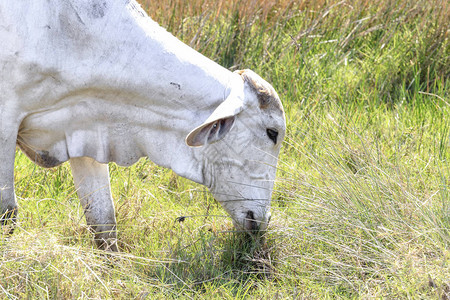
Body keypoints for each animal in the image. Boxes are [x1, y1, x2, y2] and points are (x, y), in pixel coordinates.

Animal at [0, 0, 284, 251]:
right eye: (272, 133)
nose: (265, 220)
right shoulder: (5, 123)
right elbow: (7, 213)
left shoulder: (83, 125)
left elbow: (103, 221)